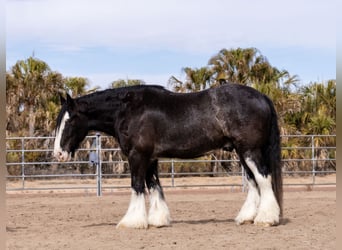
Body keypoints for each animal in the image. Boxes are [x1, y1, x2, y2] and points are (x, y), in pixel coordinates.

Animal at [54, 81, 284, 229]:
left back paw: (266, 219)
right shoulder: (150, 158)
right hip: (242, 152)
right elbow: (154, 186)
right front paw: (158, 219)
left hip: (250, 151)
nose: (58, 154)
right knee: (254, 181)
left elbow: (137, 185)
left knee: (263, 178)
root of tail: (262, 96)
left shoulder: (137, 156)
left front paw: (131, 221)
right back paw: (247, 218)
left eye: (70, 120)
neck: (128, 110)